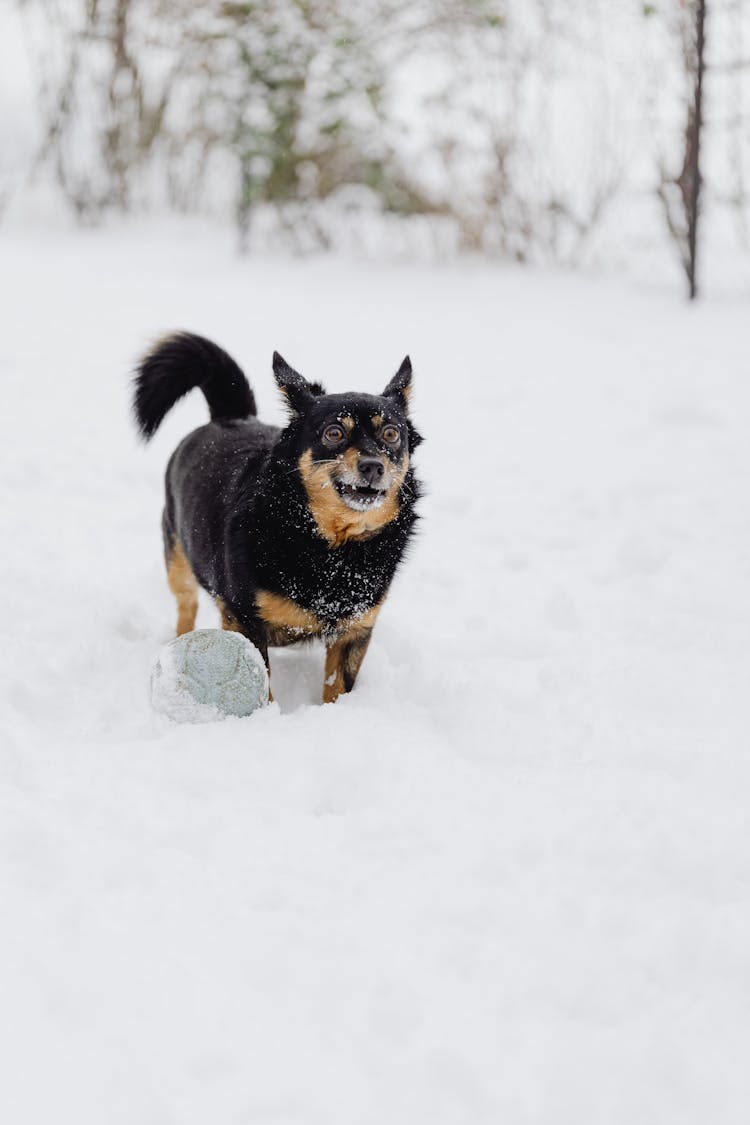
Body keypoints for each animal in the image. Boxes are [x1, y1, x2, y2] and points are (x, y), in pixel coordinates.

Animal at [134, 330, 422, 702]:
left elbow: (337, 686)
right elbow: (262, 681)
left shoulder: (355, 629)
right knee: (186, 604)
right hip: (178, 560)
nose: (373, 466)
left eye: (391, 434)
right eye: (334, 433)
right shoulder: (244, 619)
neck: (331, 546)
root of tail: (233, 416)